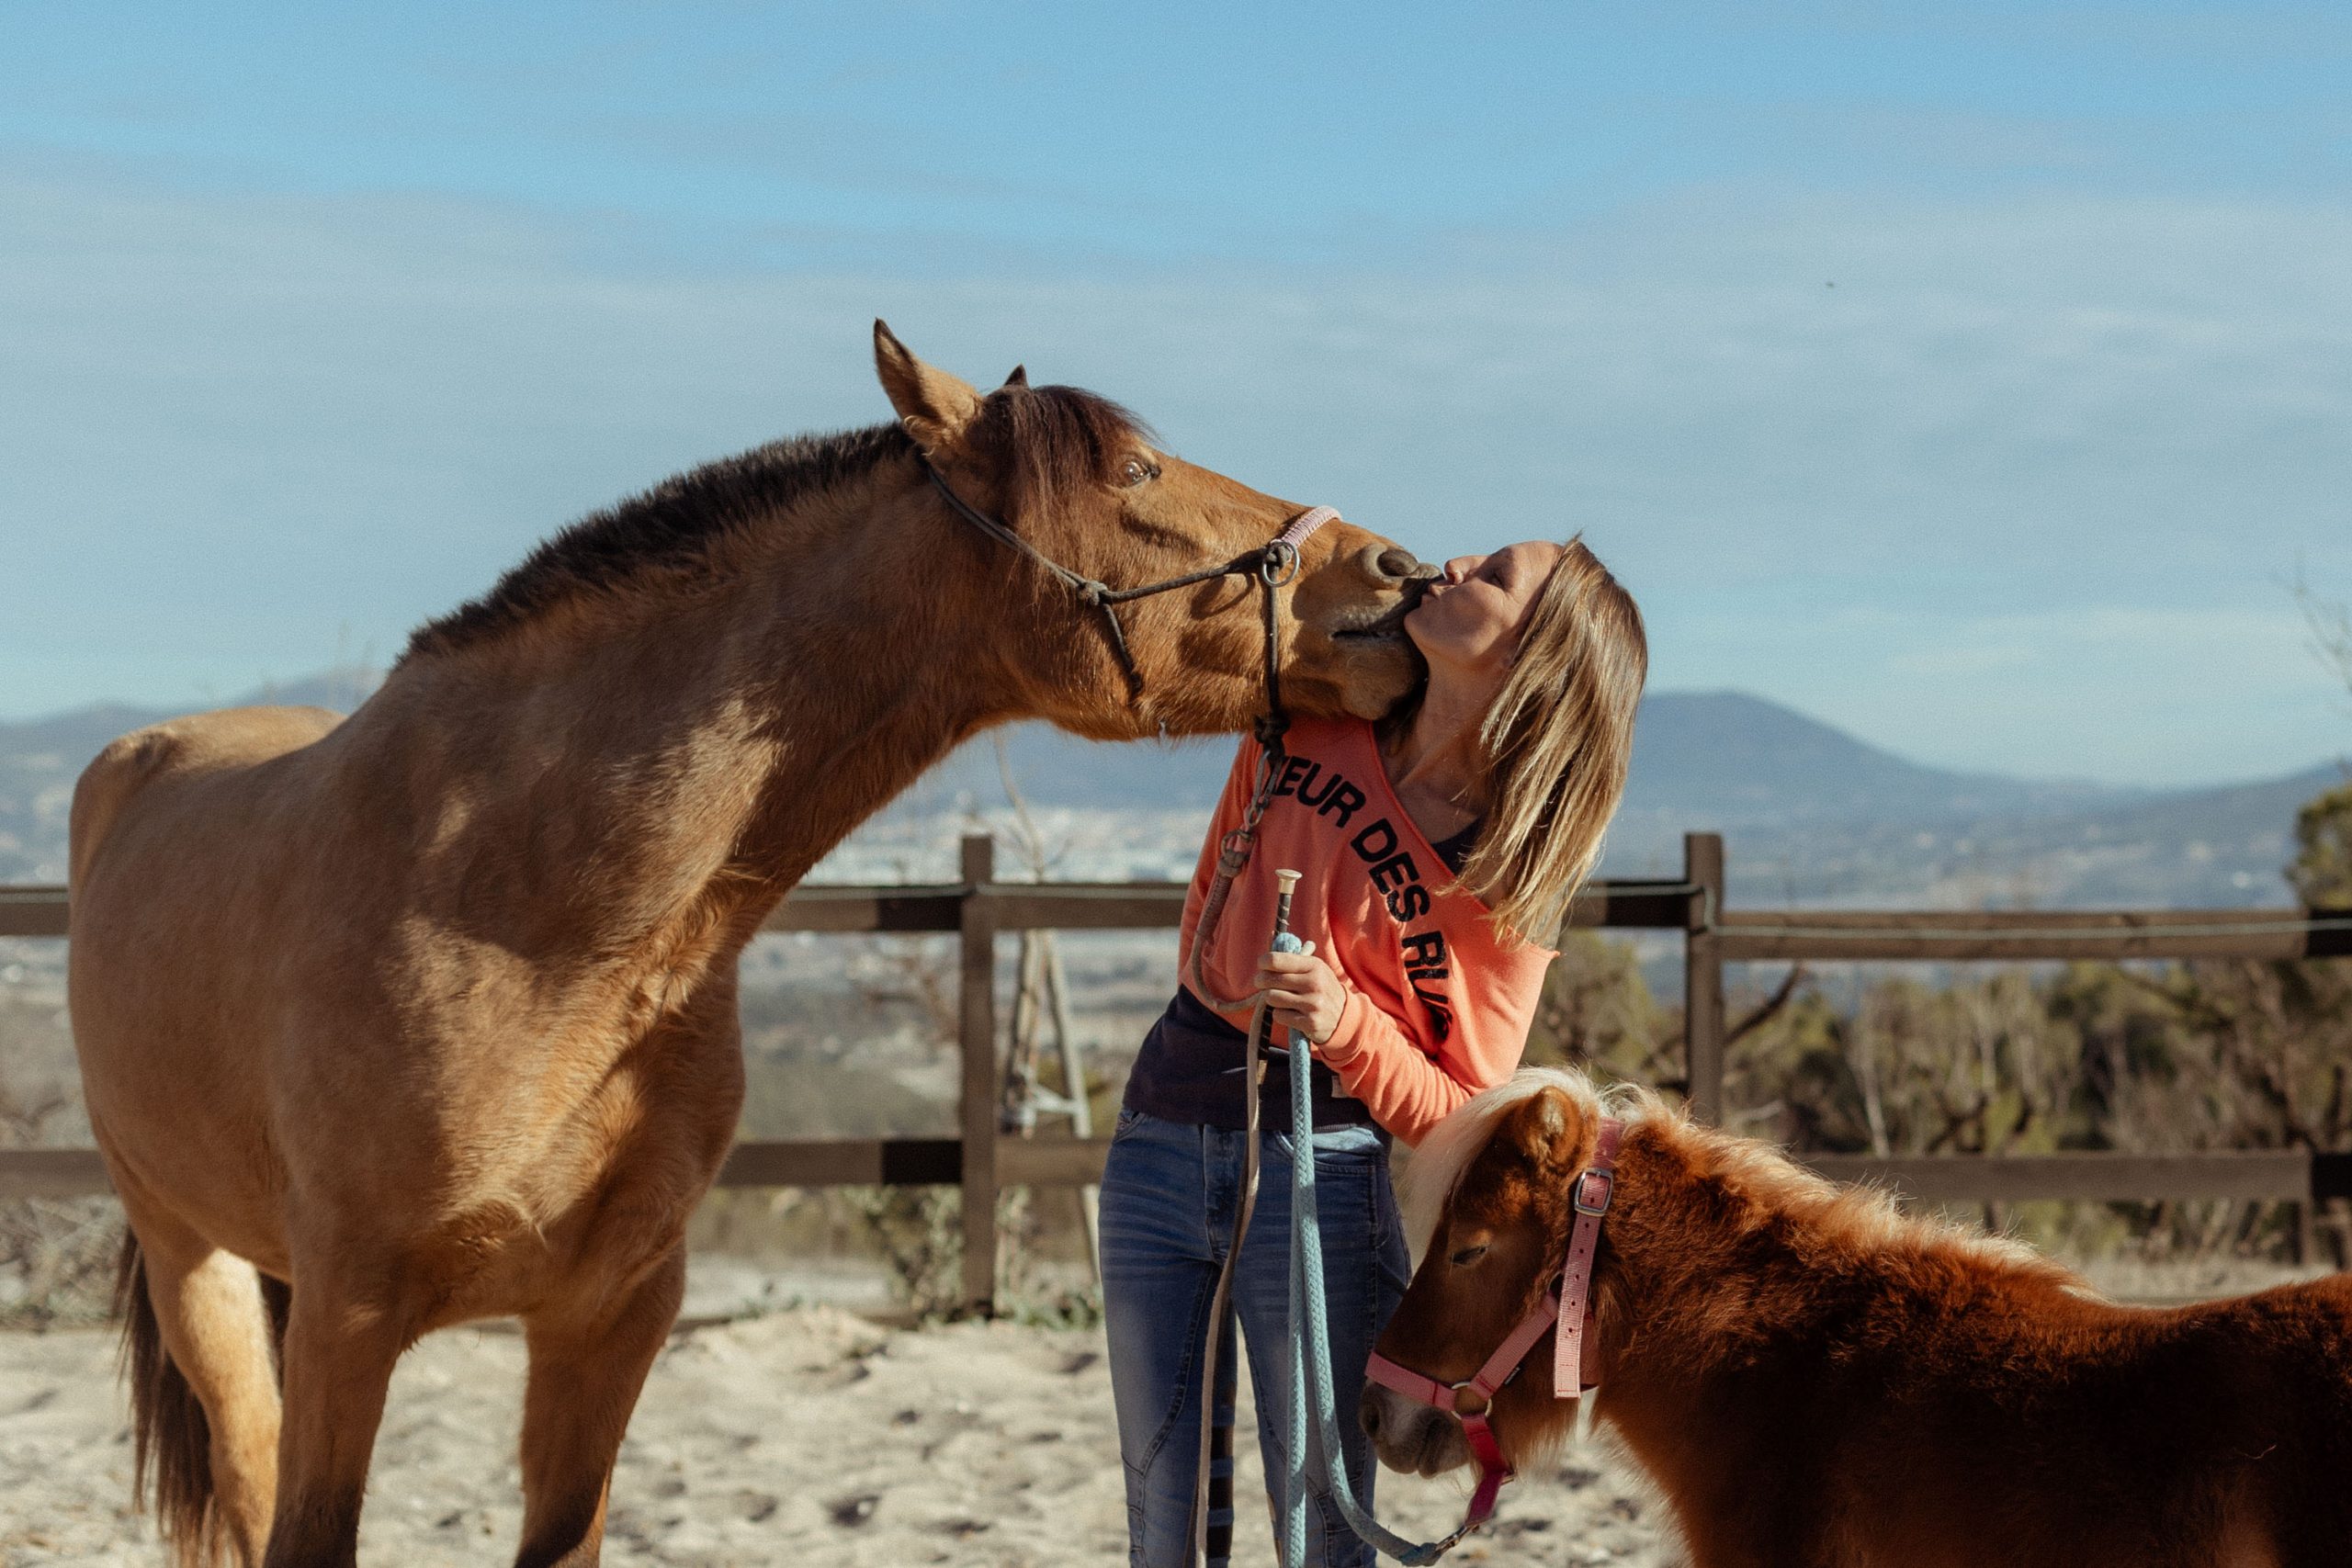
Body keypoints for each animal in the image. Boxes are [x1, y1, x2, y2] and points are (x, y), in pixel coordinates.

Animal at [67, 322, 1434, 1568]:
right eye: (1139, 471)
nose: (1400, 571)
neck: (536, 918)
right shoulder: (349, 1319)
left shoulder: (612, 1316)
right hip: (197, 1270)